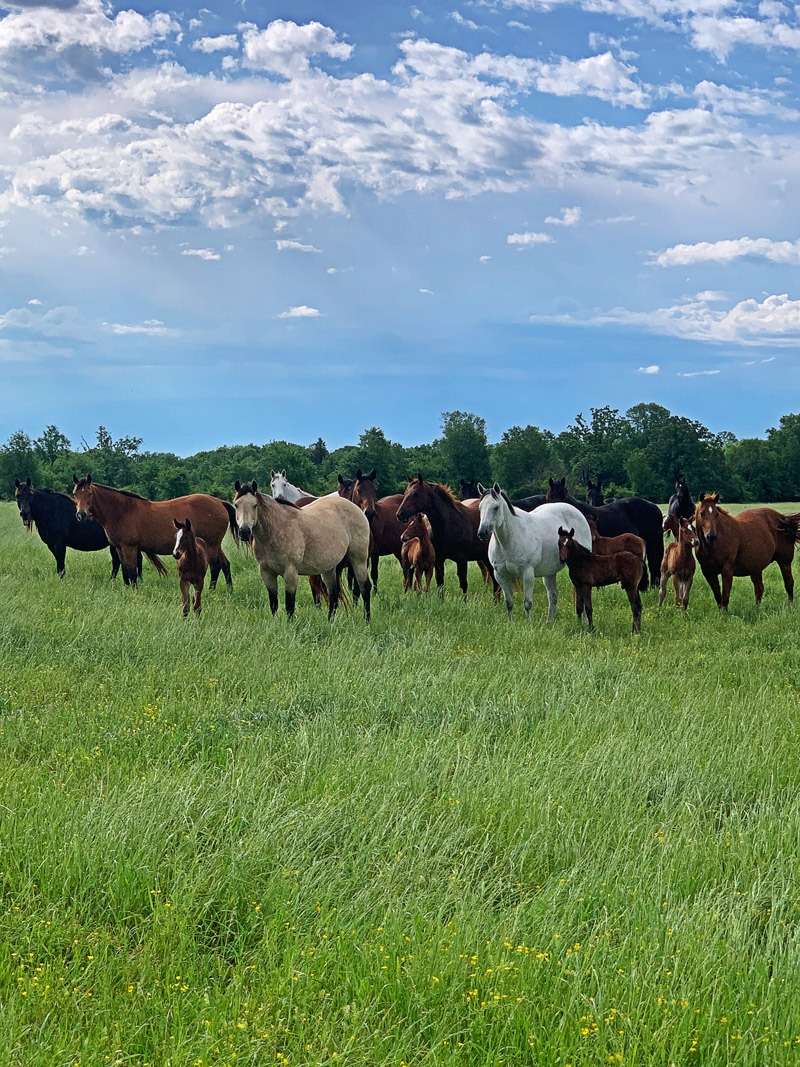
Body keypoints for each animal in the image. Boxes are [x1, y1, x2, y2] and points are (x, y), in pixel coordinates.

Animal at [14, 478, 149, 579]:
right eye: (17, 496)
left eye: (30, 495)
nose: (24, 513)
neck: (52, 511)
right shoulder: (51, 545)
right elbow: (59, 564)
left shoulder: (59, 544)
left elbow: (60, 565)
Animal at [72, 475, 236, 587]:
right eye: (75, 494)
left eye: (89, 493)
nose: (81, 515)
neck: (122, 511)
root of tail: (219, 502)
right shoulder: (119, 548)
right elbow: (125, 572)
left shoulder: (129, 548)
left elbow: (132, 573)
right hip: (216, 546)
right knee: (225, 565)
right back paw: (229, 591)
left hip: (211, 545)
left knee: (215, 566)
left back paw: (211, 591)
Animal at [233, 480, 371, 620]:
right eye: (236, 505)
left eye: (255, 505)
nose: (244, 532)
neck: (276, 530)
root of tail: (356, 508)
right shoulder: (267, 573)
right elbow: (273, 604)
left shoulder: (291, 573)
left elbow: (289, 606)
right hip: (329, 568)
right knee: (333, 594)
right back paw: (330, 622)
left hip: (359, 560)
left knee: (365, 587)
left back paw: (367, 620)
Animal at [476, 483, 590, 620]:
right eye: (480, 508)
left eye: (496, 507)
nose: (482, 533)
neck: (509, 540)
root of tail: (578, 513)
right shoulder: (500, 575)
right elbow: (509, 603)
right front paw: (511, 622)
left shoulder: (527, 573)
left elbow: (528, 603)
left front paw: (528, 623)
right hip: (549, 572)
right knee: (552, 596)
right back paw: (550, 622)